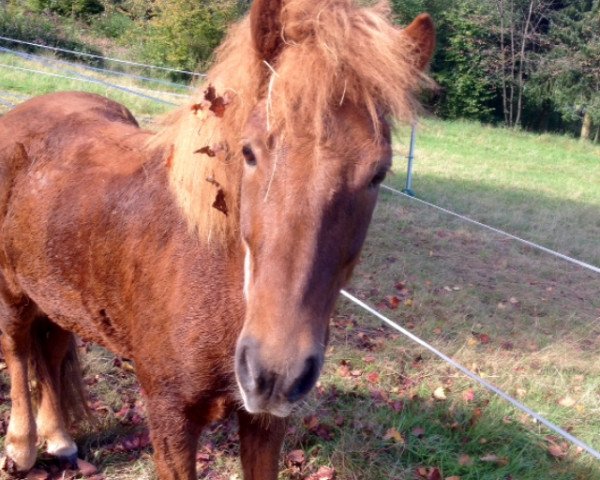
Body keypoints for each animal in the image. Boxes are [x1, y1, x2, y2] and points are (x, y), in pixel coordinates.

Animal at [0, 1, 434, 478]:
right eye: (249, 152)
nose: (276, 373)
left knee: (52, 351)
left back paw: (60, 441)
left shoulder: (264, 423)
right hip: (12, 294)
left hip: (61, 294)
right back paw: (21, 448)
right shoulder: (169, 418)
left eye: (378, 173)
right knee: (17, 350)